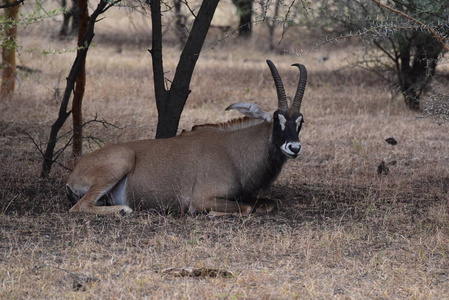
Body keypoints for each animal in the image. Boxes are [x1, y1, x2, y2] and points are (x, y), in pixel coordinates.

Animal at [66, 59, 306, 216]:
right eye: (276, 119)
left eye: (300, 121)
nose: (294, 147)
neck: (233, 152)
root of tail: (74, 174)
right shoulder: (202, 199)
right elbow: (246, 209)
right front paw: (211, 214)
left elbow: (270, 203)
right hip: (119, 164)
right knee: (80, 207)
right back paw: (124, 209)